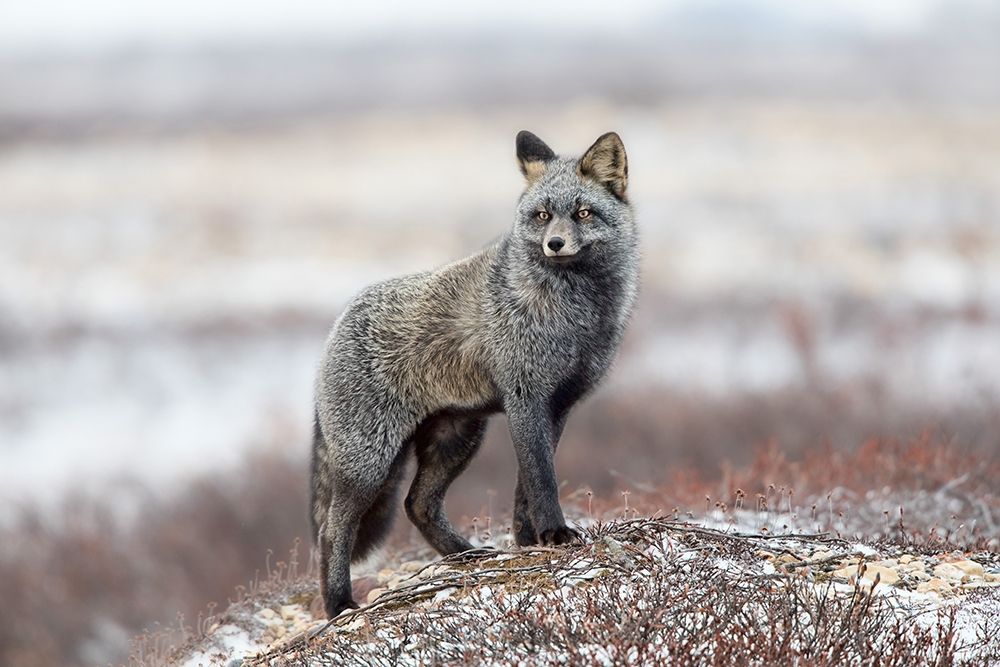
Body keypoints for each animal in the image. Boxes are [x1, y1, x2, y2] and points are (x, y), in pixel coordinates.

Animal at [310, 130, 639, 618]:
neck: (574, 314)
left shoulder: (558, 405)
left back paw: (466, 556)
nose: (555, 244)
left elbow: (526, 487)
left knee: (417, 505)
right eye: (542, 216)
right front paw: (555, 534)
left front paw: (530, 541)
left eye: (583, 213)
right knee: (332, 531)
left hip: (457, 440)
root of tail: (335, 326)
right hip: (371, 462)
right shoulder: (526, 397)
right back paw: (339, 605)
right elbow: (542, 478)